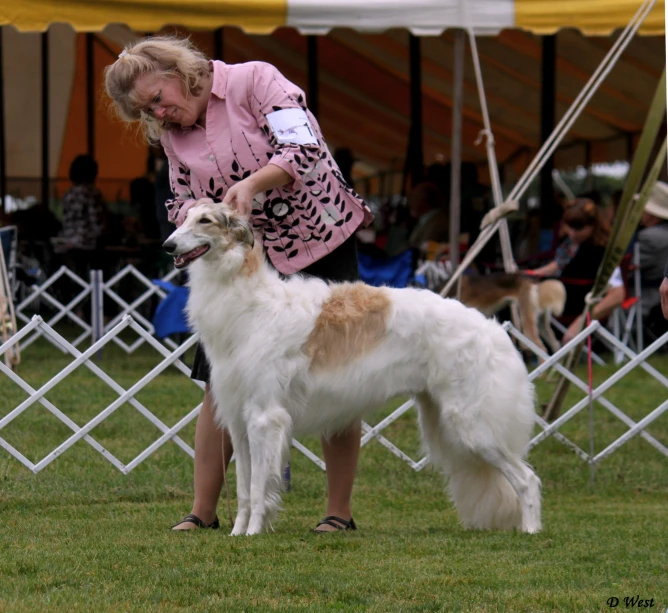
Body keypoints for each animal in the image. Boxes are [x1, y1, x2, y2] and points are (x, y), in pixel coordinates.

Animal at [163, 202, 544, 536]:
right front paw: (238, 533)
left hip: (473, 424)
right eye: (182, 218)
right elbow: (244, 490)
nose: (168, 245)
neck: (251, 303)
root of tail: (495, 329)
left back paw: (531, 530)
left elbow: (258, 491)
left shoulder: (264, 417)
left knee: (528, 479)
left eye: (205, 220)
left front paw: (253, 533)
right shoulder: (239, 421)